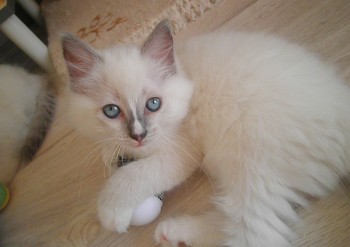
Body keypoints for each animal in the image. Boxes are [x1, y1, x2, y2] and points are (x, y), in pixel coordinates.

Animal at [60, 21, 350, 247]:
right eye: (111, 111)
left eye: (153, 104)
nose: (138, 135)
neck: (186, 78)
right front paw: (112, 153)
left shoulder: (180, 152)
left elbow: (132, 176)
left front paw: (110, 211)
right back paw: (172, 232)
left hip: (251, 165)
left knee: (254, 233)